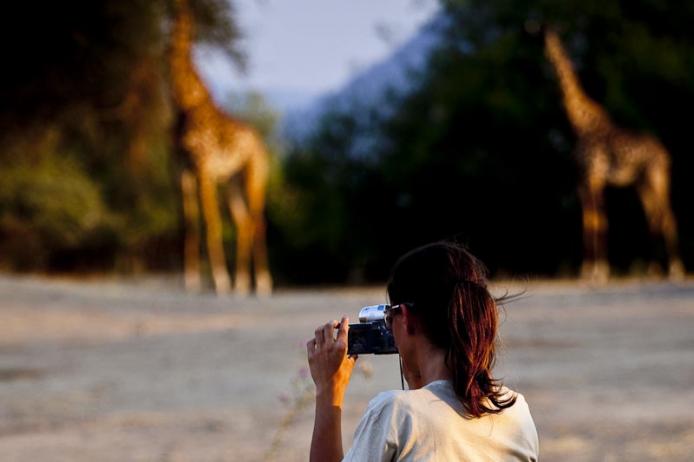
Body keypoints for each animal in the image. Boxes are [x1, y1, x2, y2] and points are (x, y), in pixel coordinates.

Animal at [170, 0, 274, 296]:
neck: (183, 103)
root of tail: (261, 144)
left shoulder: (203, 167)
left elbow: (210, 222)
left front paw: (219, 281)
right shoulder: (180, 169)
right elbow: (188, 223)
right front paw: (189, 280)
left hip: (253, 176)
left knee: (257, 221)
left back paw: (262, 283)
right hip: (231, 182)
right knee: (243, 222)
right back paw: (241, 283)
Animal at [548, 29, 688, 282]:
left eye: (548, 36)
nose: (545, 48)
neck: (579, 123)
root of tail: (665, 153)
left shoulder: (595, 175)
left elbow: (600, 221)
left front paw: (600, 271)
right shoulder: (582, 179)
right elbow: (588, 221)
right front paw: (586, 270)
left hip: (656, 177)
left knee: (668, 216)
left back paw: (676, 269)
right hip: (642, 183)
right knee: (654, 218)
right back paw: (654, 269)